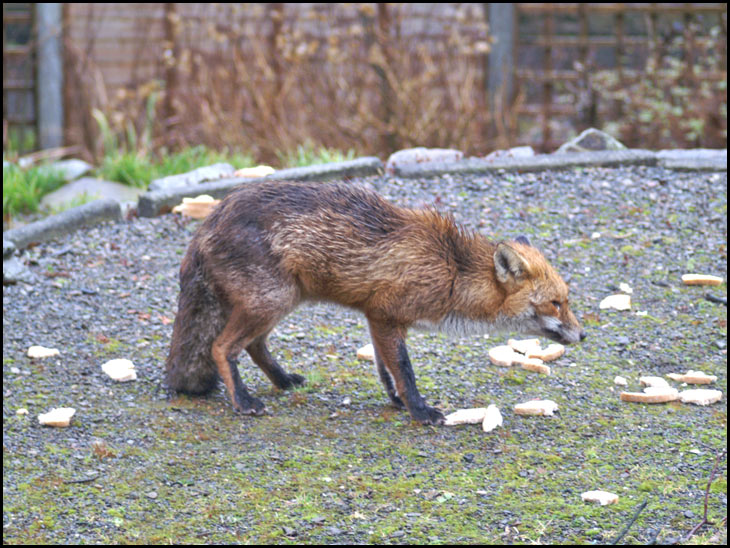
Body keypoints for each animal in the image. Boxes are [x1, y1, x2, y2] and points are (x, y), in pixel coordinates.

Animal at [164, 180, 580, 424]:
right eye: (556, 304)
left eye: (566, 301)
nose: (584, 336)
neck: (451, 270)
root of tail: (208, 222)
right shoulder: (385, 316)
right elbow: (404, 370)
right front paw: (419, 410)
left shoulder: (376, 318)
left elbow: (386, 370)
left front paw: (398, 401)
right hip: (271, 301)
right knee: (222, 348)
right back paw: (243, 401)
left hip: (278, 302)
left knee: (253, 346)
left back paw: (282, 380)